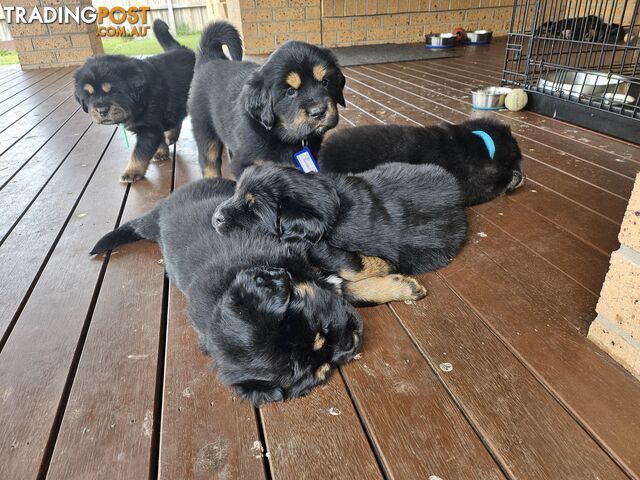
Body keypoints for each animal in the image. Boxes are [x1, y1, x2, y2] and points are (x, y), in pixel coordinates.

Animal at [73, 20, 194, 184]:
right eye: (89, 95)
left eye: (114, 92)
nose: (102, 110)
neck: (140, 98)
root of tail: (181, 49)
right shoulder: (152, 126)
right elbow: (158, 141)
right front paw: (161, 152)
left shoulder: (149, 126)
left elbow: (139, 153)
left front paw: (131, 172)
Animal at [89, 178, 420, 404]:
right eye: (320, 370)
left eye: (321, 325)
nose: (354, 340)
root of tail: (160, 211)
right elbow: (346, 287)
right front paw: (399, 285)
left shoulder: (303, 247)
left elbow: (351, 268)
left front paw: (388, 269)